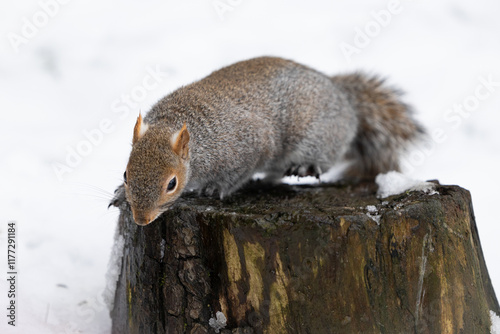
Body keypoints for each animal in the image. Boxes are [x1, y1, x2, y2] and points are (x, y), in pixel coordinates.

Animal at [109, 56, 422, 226]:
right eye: (125, 173)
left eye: (171, 184)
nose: (141, 219)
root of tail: (343, 98)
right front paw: (120, 195)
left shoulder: (249, 146)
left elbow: (237, 174)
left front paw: (214, 187)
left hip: (318, 136)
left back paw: (305, 166)